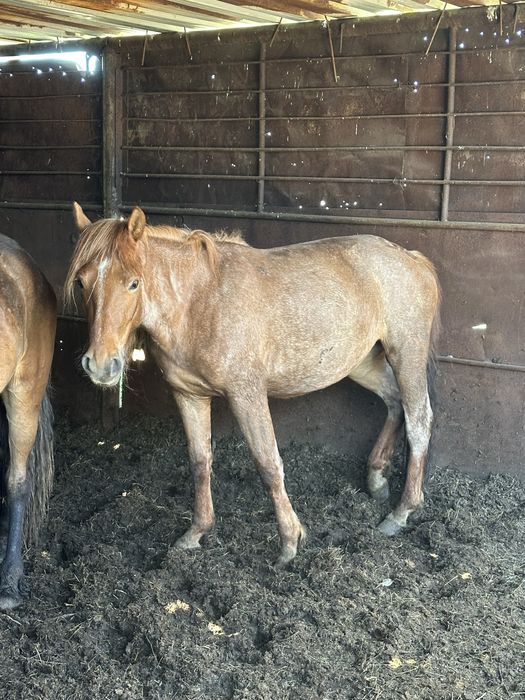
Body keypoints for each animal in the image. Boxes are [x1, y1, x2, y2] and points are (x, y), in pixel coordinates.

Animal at [66, 203, 440, 567]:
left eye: (133, 283)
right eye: (82, 282)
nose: (100, 364)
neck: (198, 303)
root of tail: (410, 258)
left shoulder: (246, 394)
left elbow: (268, 464)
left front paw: (290, 542)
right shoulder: (189, 396)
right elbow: (199, 461)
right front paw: (195, 533)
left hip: (405, 354)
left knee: (419, 421)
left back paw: (401, 512)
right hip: (361, 363)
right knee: (395, 403)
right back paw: (376, 479)